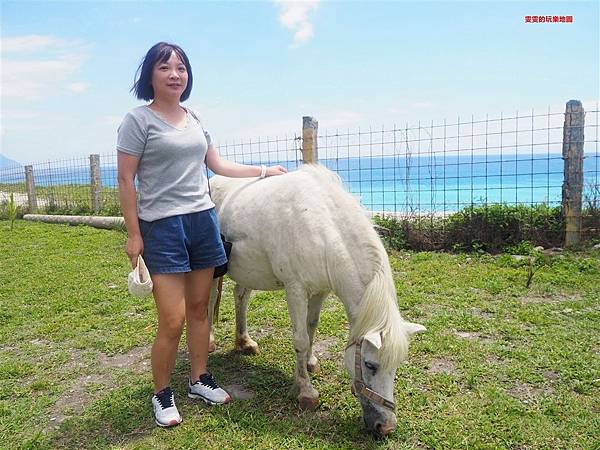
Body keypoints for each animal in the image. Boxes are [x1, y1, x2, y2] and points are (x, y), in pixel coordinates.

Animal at [209, 165, 424, 436]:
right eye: (370, 365)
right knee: (209, 302)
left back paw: (244, 342)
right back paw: (209, 341)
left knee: (241, 296)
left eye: (395, 366)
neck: (320, 225)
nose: (385, 427)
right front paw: (305, 391)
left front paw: (309, 363)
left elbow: (311, 329)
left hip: (248, 272)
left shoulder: (320, 291)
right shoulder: (296, 289)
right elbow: (300, 339)